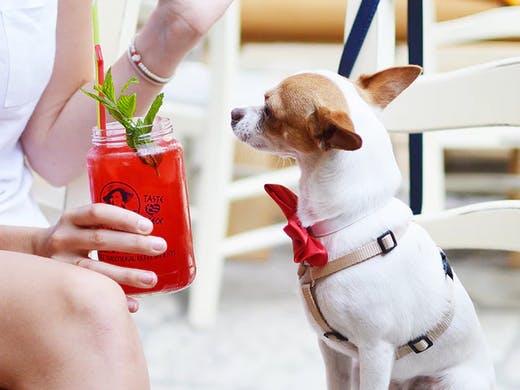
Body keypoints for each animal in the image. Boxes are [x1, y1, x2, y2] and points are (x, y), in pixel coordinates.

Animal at [230, 68, 494, 390]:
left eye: (269, 108)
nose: (233, 112)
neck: (350, 219)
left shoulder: (375, 352)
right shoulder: (334, 350)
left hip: (455, 381)